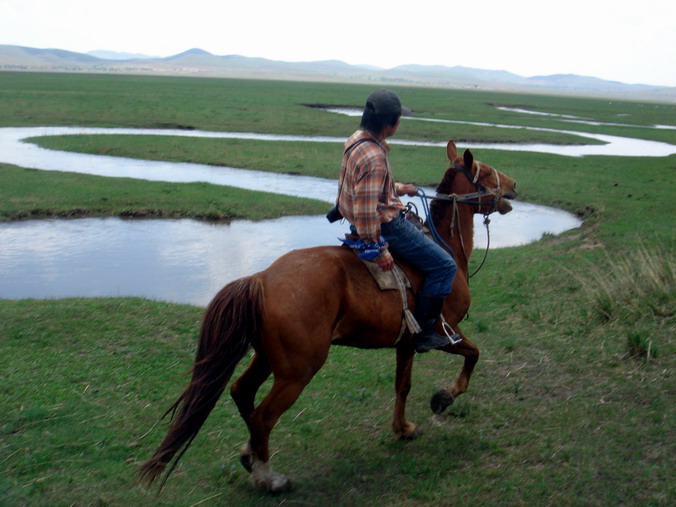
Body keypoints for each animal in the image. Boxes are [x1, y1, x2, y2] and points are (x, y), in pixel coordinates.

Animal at [139, 138, 516, 492]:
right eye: (484, 171)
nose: (513, 186)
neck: (445, 248)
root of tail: (261, 279)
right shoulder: (444, 331)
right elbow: (473, 355)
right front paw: (443, 397)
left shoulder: (407, 343)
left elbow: (403, 386)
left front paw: (403, 428)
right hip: (298, 369)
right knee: (263, 416)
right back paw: (269, 477)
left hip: (268, 357)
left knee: (242, 392)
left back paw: (250, 455)